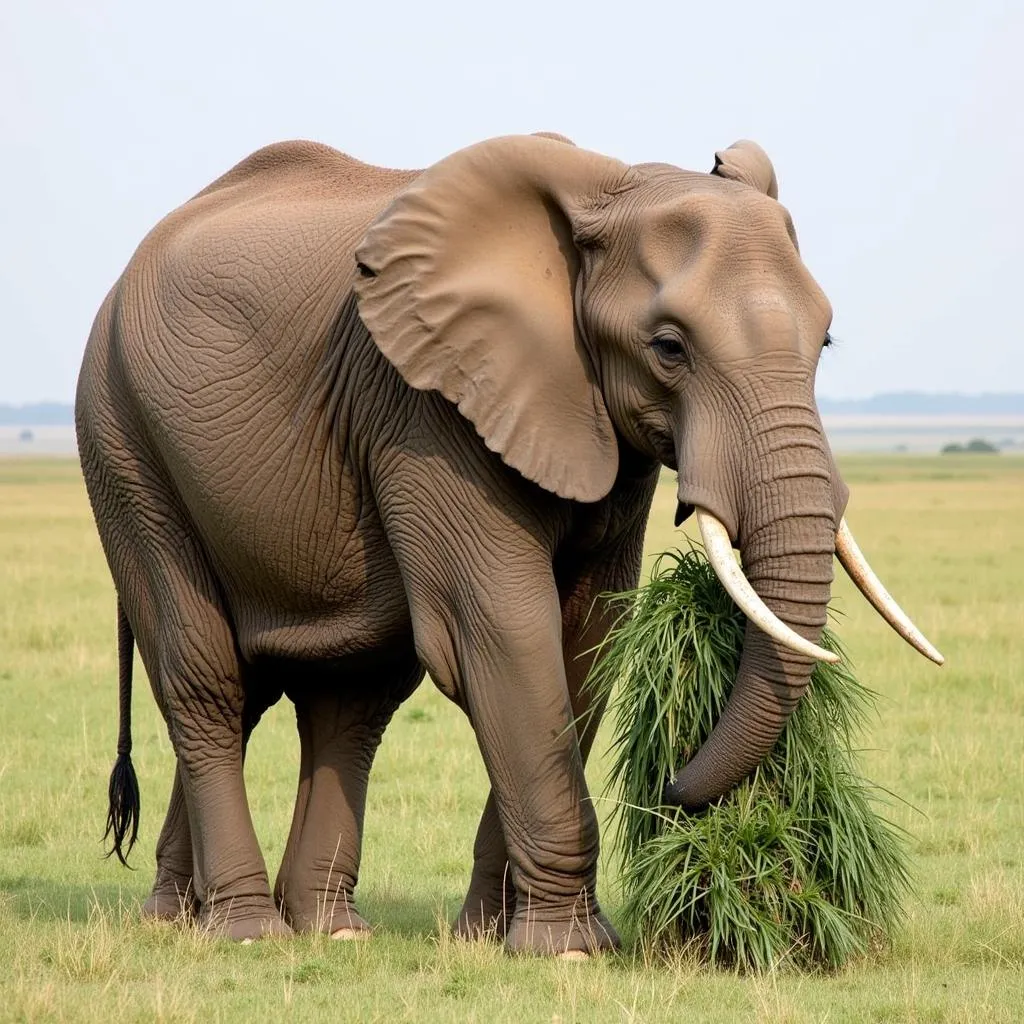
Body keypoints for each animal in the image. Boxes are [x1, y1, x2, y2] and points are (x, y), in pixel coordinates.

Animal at [77, 132, 942, 954]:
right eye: (669, 347)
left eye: (824, 343)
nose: (672, 789)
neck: (605, 192)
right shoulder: (431, 406)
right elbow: (503, 632)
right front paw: (571, 950)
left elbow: (586, 642)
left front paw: (490, 937)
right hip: (123, 440)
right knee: (206, 675)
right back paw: (250, 931)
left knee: (343, 695)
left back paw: (291, 927)